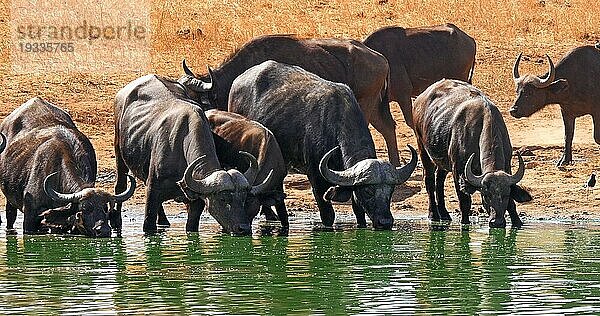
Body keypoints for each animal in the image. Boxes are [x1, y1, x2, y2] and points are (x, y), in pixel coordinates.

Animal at [0, 97, 135, 236]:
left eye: (105, 208)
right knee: (10, 215)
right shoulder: (30, 217)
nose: (103, 230)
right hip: (9, 199)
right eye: (85, 207)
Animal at [113, 73, 274, 232]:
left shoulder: (197, 203)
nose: (244, 228)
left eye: (244, 199)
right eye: (223, 199)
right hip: (119, 152)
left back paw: (164, 221)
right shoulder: (153, 192)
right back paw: (116, 222)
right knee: (121, 186)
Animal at [176, 34, 400, 167]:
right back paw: (395, 163)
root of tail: (381, 58)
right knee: (389, 128)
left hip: (367, 105)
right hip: (375, 106)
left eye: (192, 98)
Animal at [225, 61, 418, 230]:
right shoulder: (316, 179)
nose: (385, 222)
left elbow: (359, 212)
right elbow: (328, 215)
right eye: (368, 191)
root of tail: (237, 81)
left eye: (390, 192)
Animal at [414, 78, 532, 227]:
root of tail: (419, 99)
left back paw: (444, 214)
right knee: (429, 180)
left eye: (505, 195)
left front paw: (517, 221)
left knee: (439, 180)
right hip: (423, 149)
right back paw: (433, 214)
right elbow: (465, 202)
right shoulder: (457, 171)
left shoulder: (508, 166)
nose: (497, 222)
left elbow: (512, 204)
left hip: (442, 160)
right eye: (486, 195)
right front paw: (464, 223)